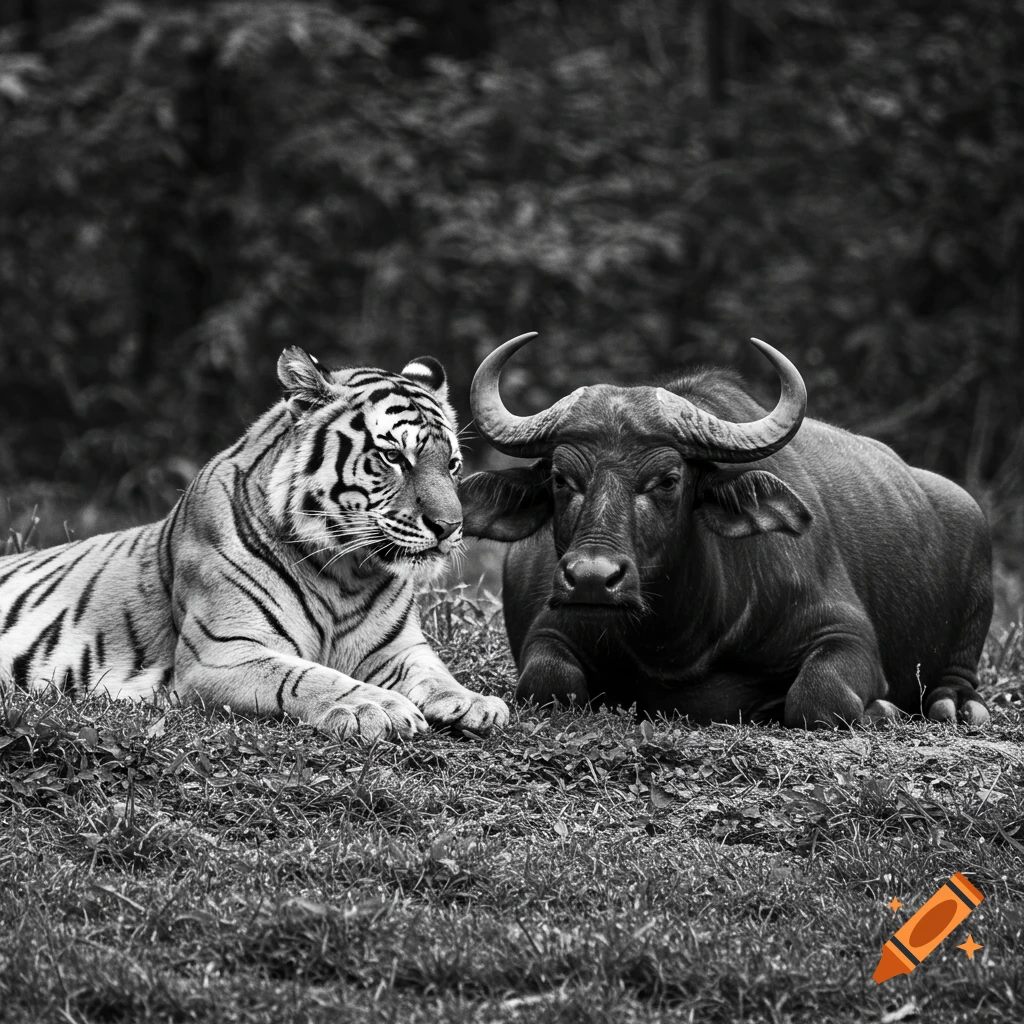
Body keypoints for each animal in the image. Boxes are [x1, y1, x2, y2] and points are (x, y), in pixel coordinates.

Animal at [0, 347, 509, 741]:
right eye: (393, 457)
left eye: (453, 465)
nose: (450, 527)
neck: (348, 574)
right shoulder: (222, 653)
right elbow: (306, 675)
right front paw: (375, 706)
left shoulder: (399, 649)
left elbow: (434, 673)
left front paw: (474, 701)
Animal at [459, 333, 993, 728]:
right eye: (561, 478)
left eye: (668, 480)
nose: (592, 579)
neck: (675, 641)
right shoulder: (550, 630)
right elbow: (548, 685)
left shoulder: (846, 632)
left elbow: (818, 699)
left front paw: (880, 708)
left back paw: (955, 705)